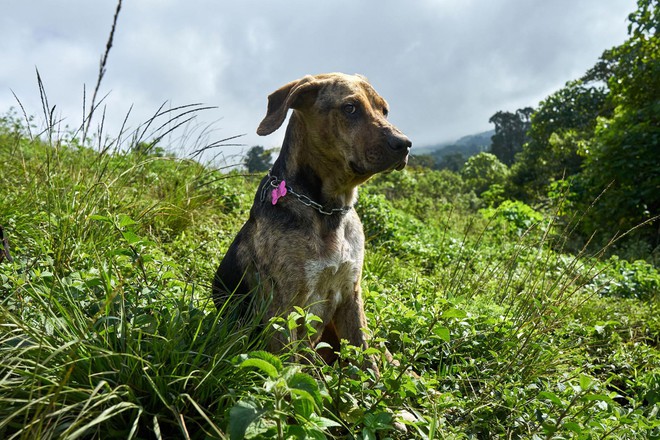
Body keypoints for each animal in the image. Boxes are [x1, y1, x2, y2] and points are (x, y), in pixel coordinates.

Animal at [214, 72, 410, 372]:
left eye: (384, 110)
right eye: (350, 108)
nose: (404, 144)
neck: (328, 210)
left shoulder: (352, 294)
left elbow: (366, 362)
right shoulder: (284, 306)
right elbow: (293, 366)